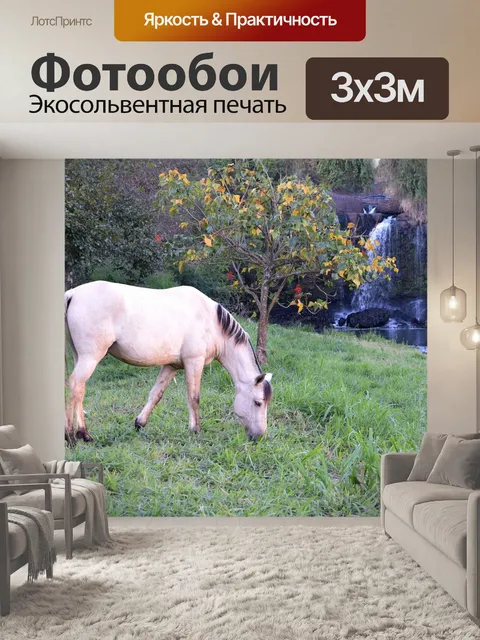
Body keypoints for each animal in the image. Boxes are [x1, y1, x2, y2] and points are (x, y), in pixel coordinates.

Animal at [64, 281, 273, 446]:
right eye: (258, 402)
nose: (259, 436)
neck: (212, 322)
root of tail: (72, 294)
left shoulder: (172, 366)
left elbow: (155, 395)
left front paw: (140, 423)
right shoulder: (194, 363)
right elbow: (194, 397)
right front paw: (195, 429)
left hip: (80, 357)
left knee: (80, 389)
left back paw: (83, 434)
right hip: (90, 358)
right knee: (75, 385)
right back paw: (72, 436)